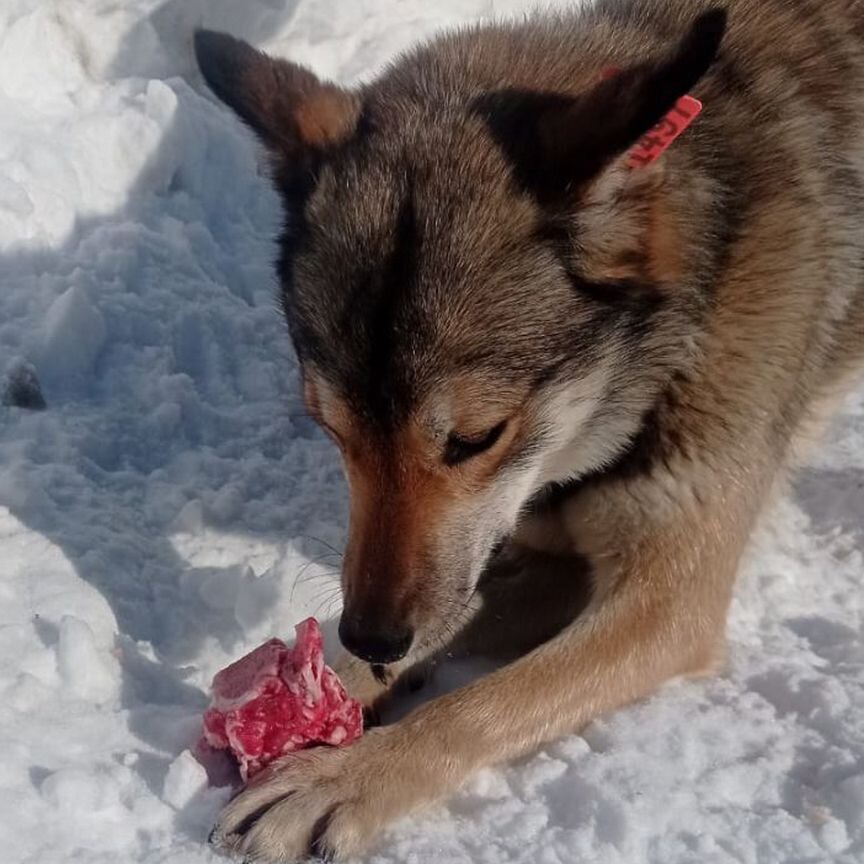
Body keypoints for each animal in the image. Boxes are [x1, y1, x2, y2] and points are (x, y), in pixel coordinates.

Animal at [194, 1, 864, 856]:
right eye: (332, 431)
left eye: (477, 437)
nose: (375, 637)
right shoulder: (534, 558)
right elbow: (453, 611)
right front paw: (329, 684)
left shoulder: (666, 604)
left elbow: (479, 705)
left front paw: (346, 776)